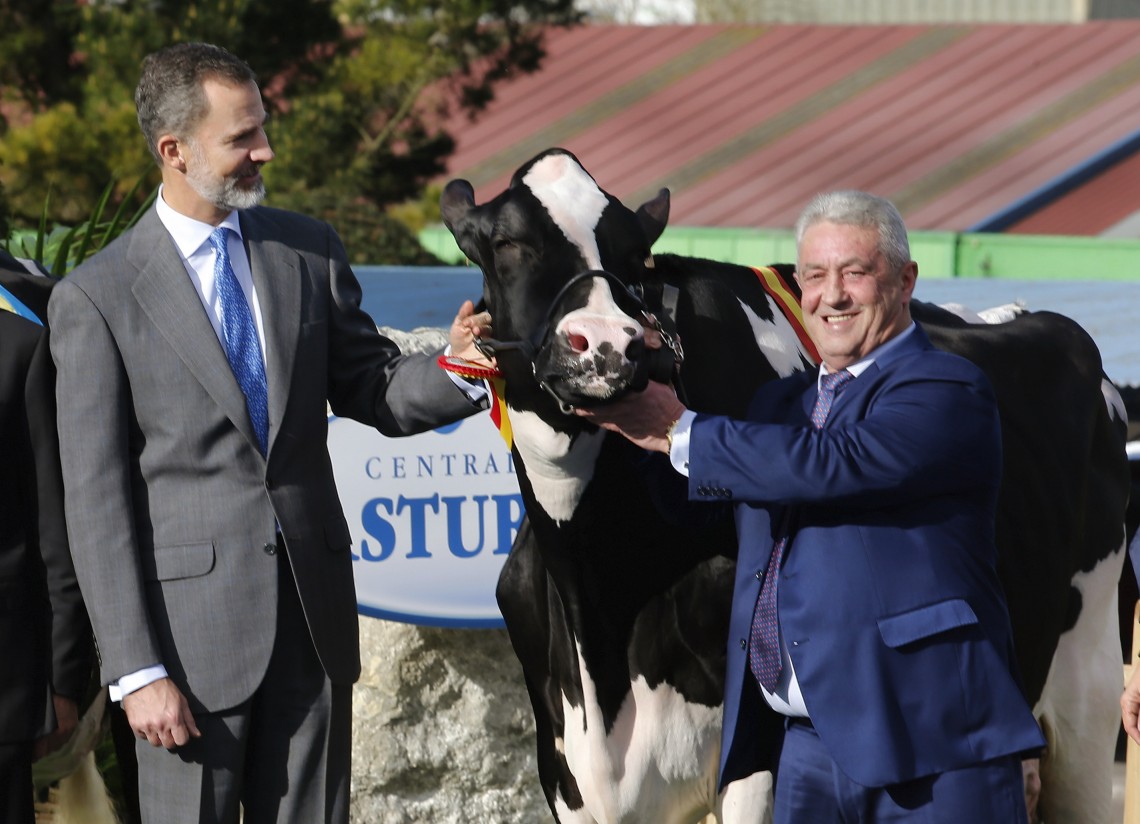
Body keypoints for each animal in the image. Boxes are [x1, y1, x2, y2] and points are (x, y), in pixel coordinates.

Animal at [440, 150, 1135, 824]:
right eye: (506, 244)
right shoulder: (568, 775)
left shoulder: (755, 752)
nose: (610, 345)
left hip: (1090, 691)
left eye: (635, 257)